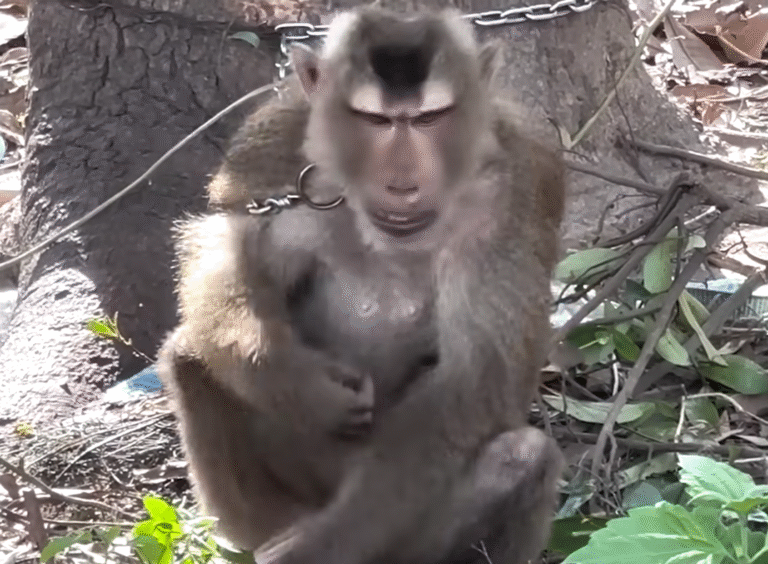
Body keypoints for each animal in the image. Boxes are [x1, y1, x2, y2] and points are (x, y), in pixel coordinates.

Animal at [158, 6, 566, 564]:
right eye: (373, 121)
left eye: (430, 118)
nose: (401, 181)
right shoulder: (279, 136)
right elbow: (230, 239)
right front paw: (293, 381)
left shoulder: (519, 187)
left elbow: (471, 379)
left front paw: (316, 549)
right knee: (191, 354)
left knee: (523, 456)